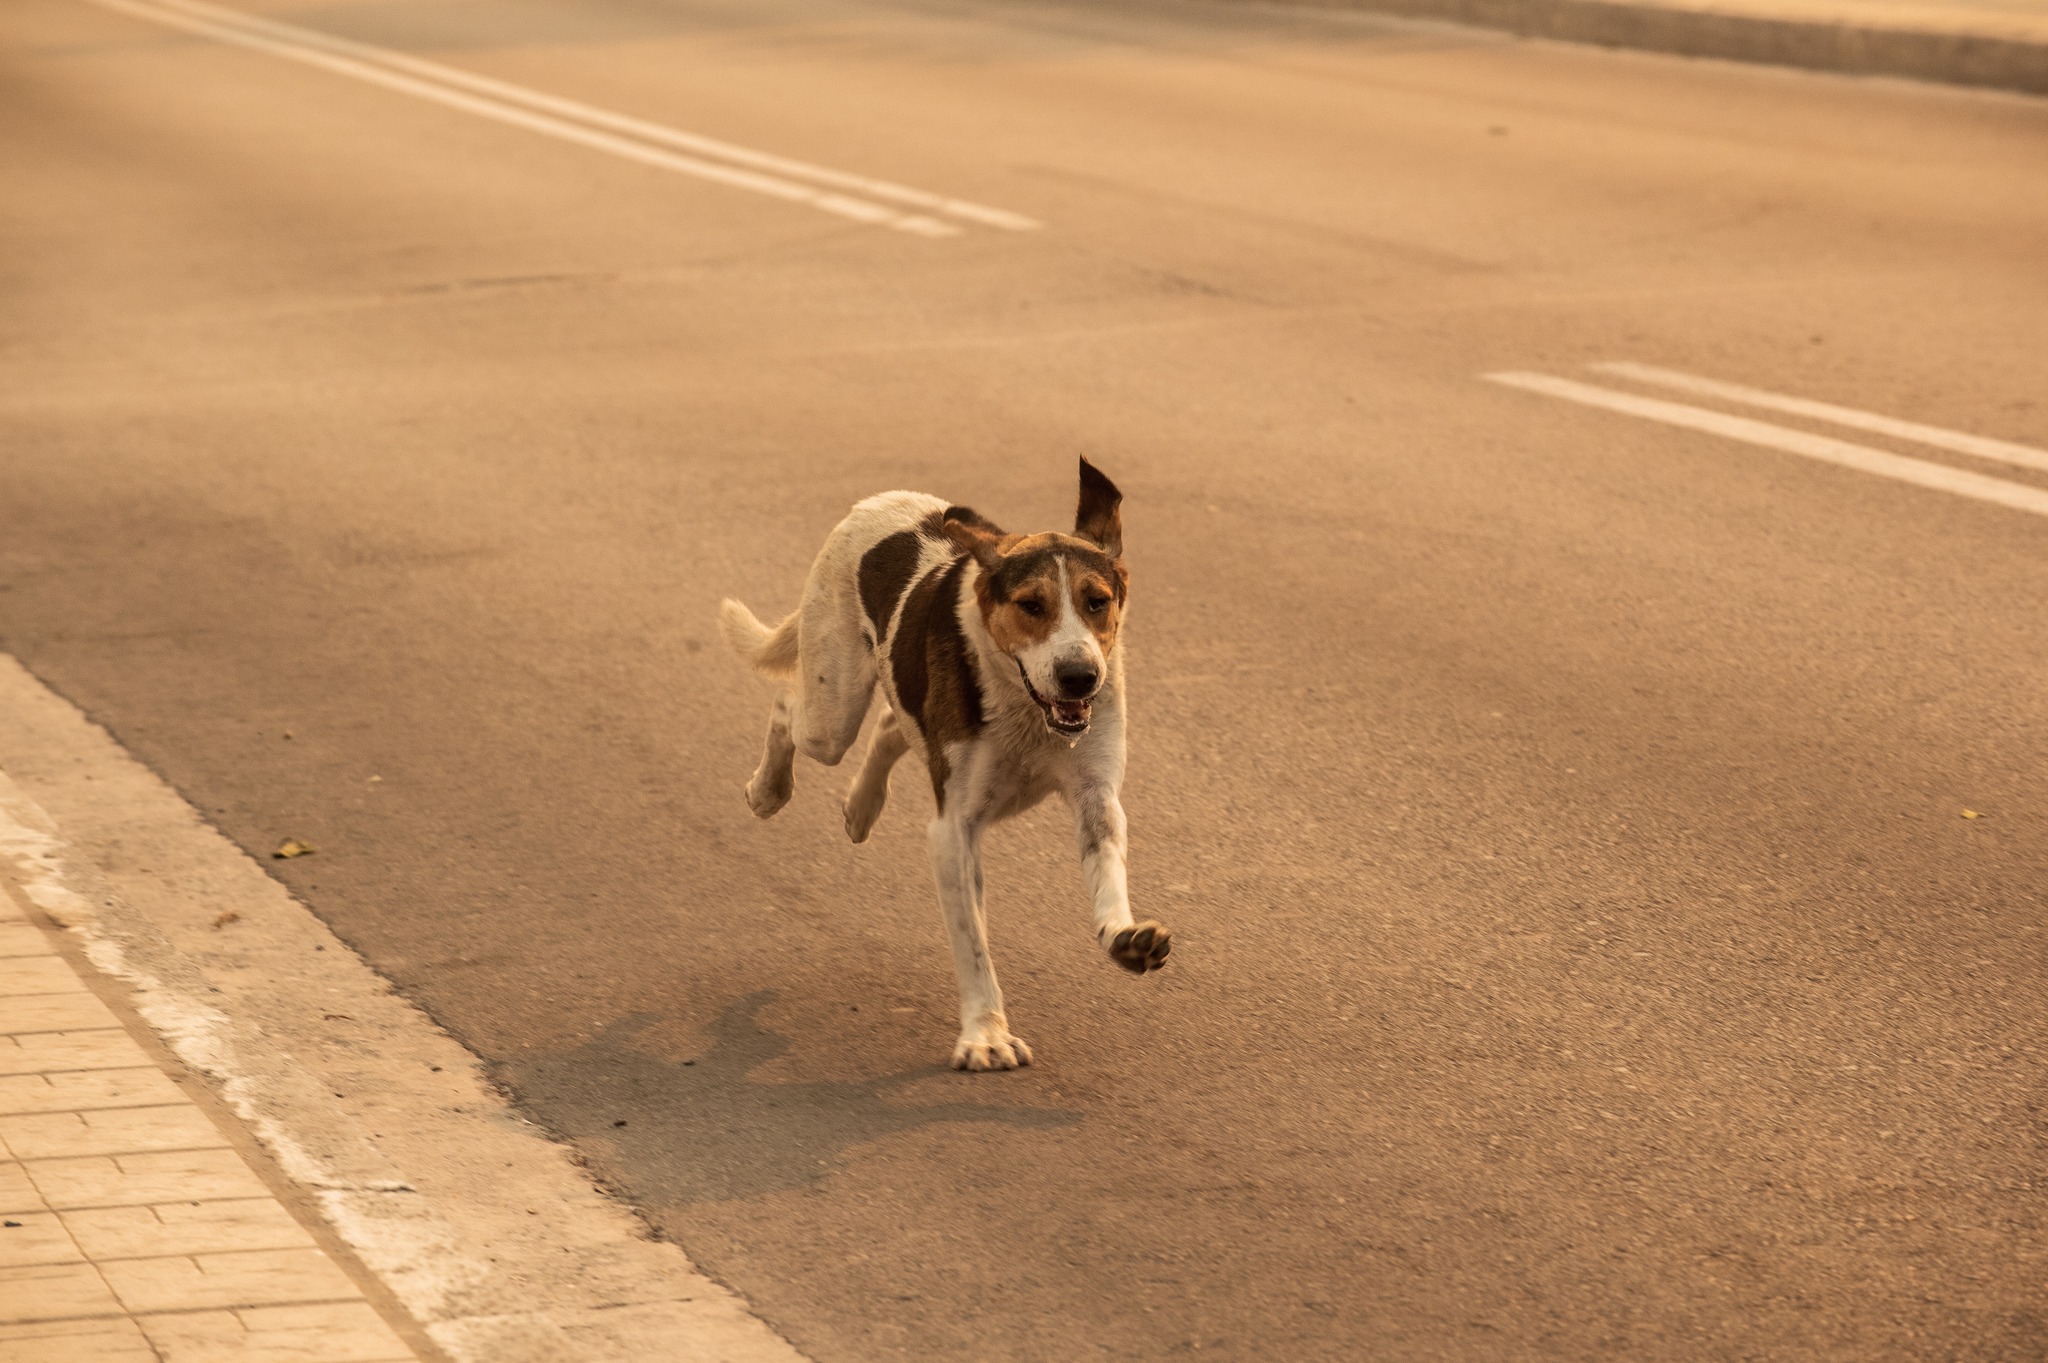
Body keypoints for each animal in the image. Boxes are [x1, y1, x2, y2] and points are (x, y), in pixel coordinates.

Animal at [720, 462, 1171, 1064]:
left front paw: (1125, 939)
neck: (1025, 707)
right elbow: (972, 944)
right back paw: (768, 789)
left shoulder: (1097, 796)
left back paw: (861, 807)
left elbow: (1108, 875)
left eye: (1097, 601)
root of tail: (879, 500)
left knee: (891, 723)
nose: (1080, 677)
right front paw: (986, 1034)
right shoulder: (954, 829)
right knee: (790, 706)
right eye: (1032, 605)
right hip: (831, 710)